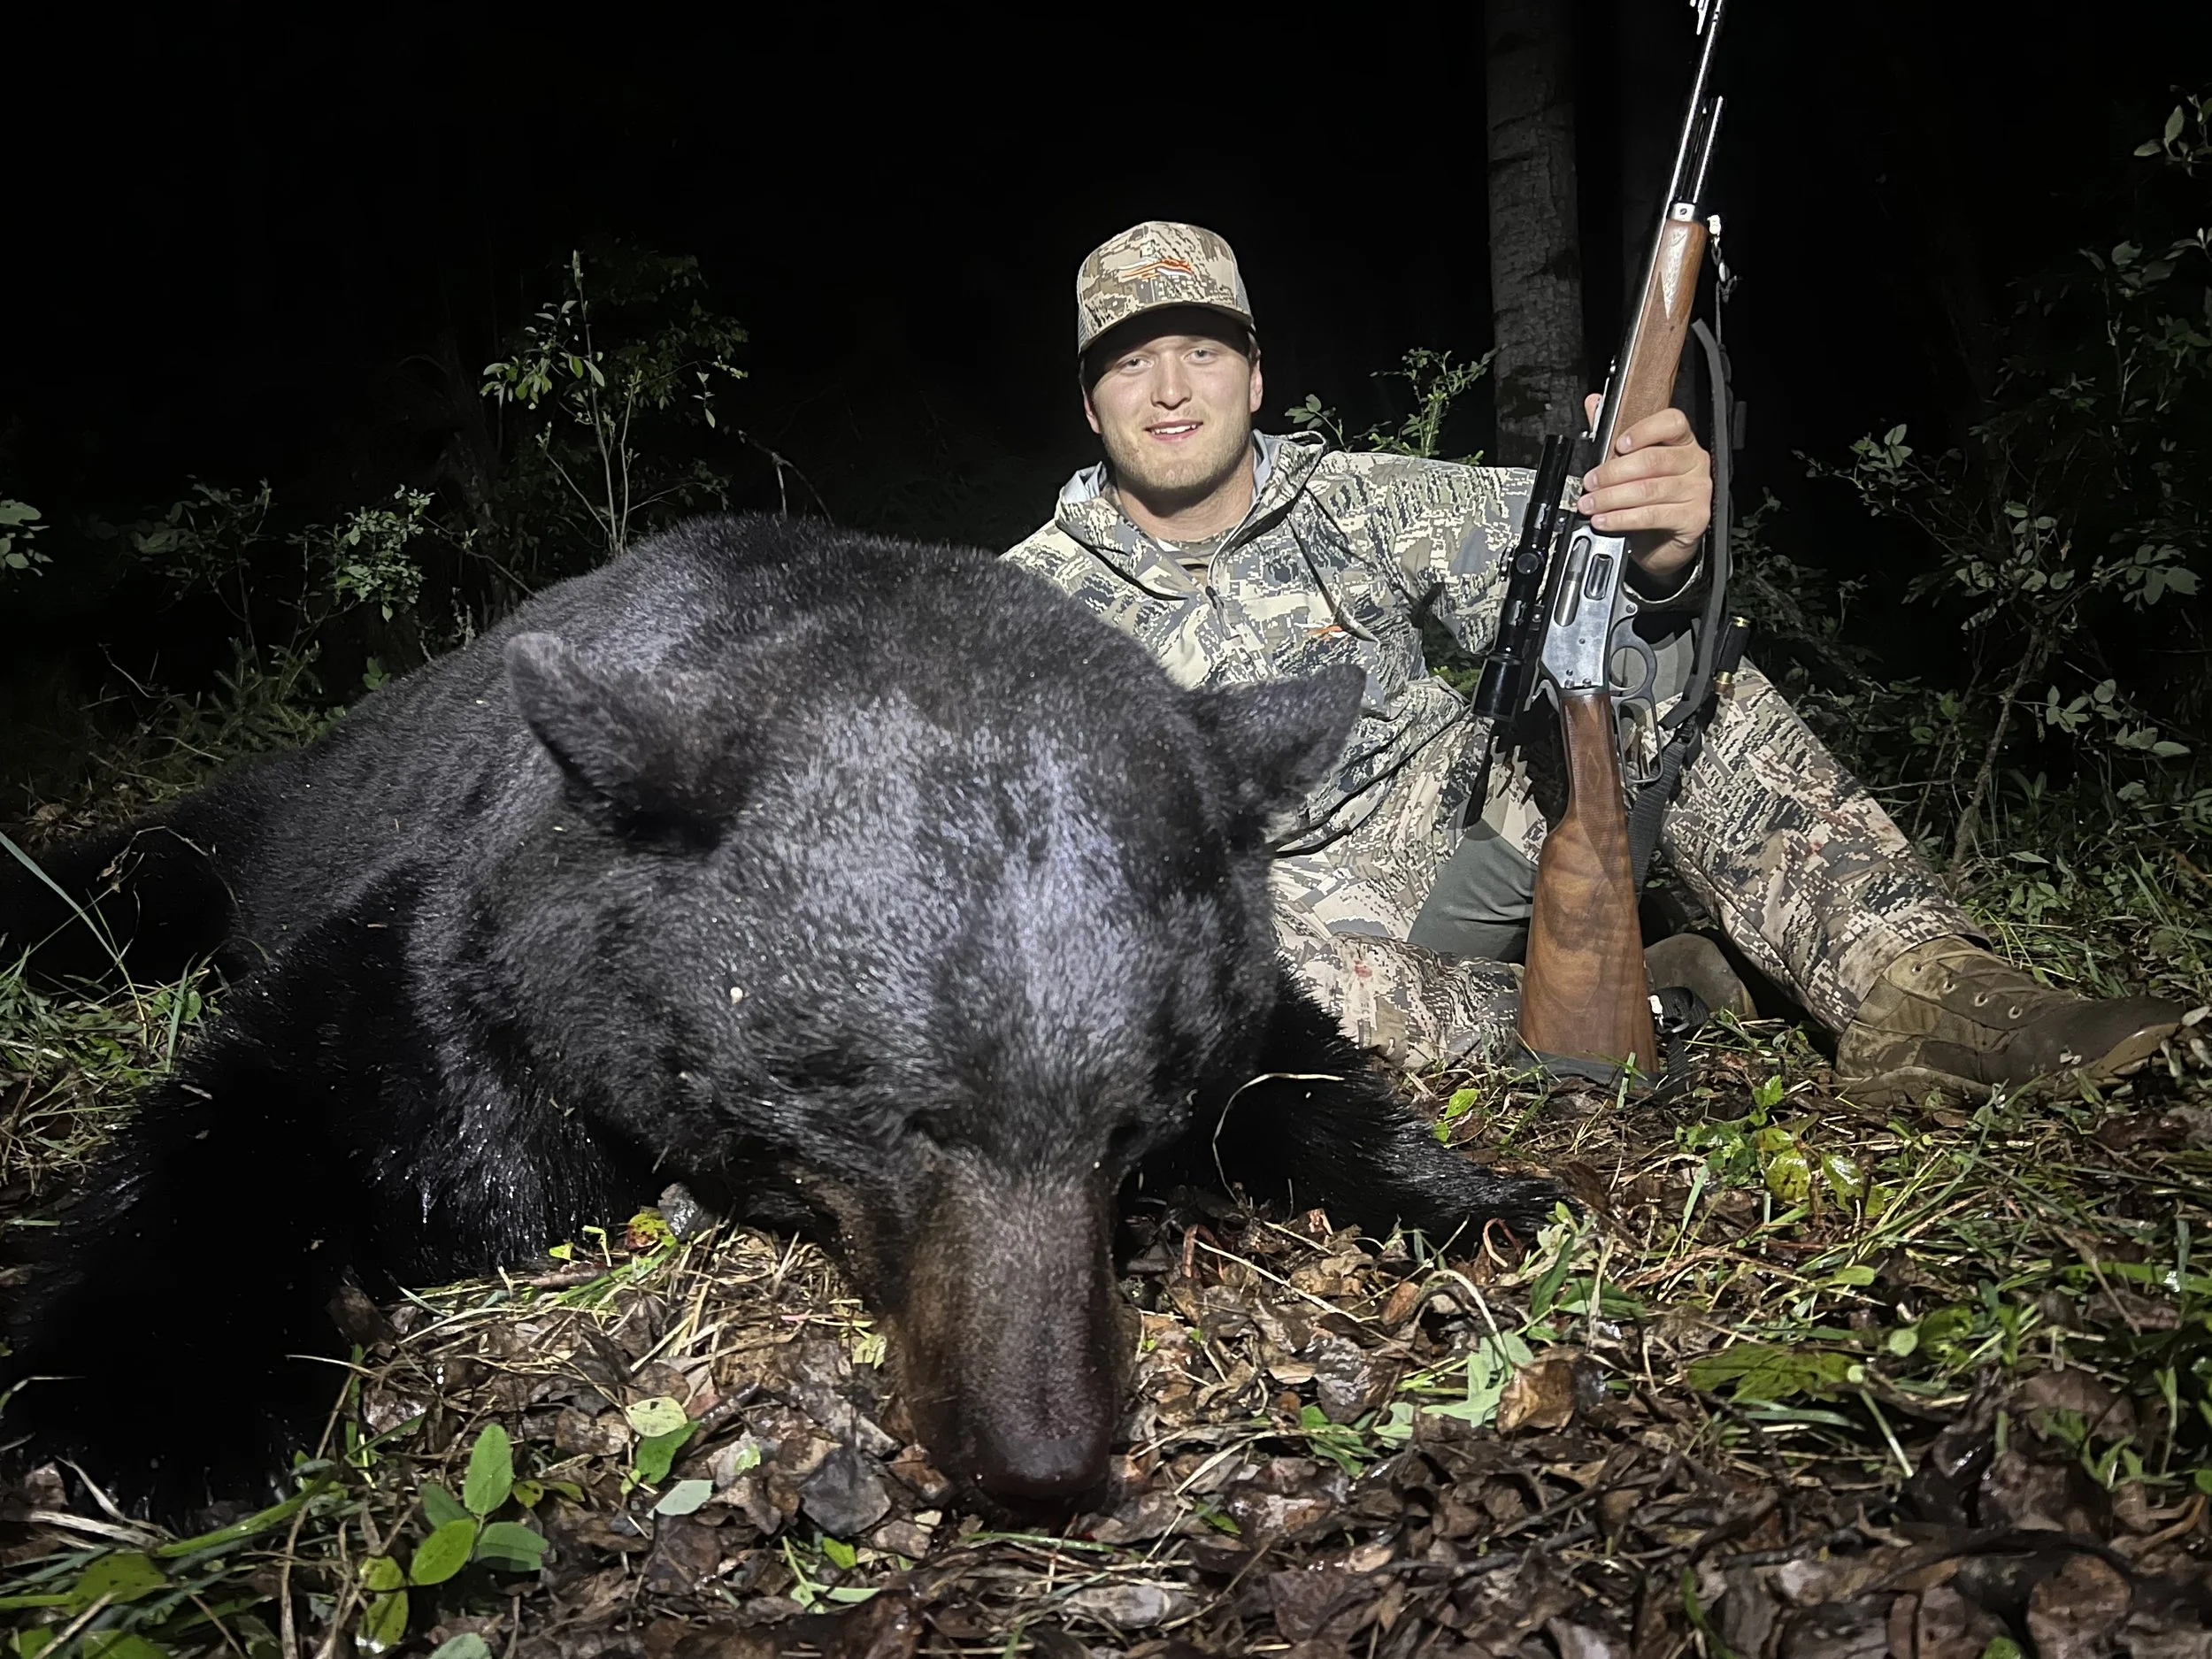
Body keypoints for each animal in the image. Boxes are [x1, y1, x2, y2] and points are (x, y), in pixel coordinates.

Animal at [0, 514, 1558, 1514]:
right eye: (909, 1119)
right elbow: (292, 1096)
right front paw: (152, 1407)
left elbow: (1293, 1055)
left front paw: (1467, 1192)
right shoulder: (467, 942)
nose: (1042, 1457)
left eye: (1130, 1126)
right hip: (265, 818)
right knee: (142, 872)